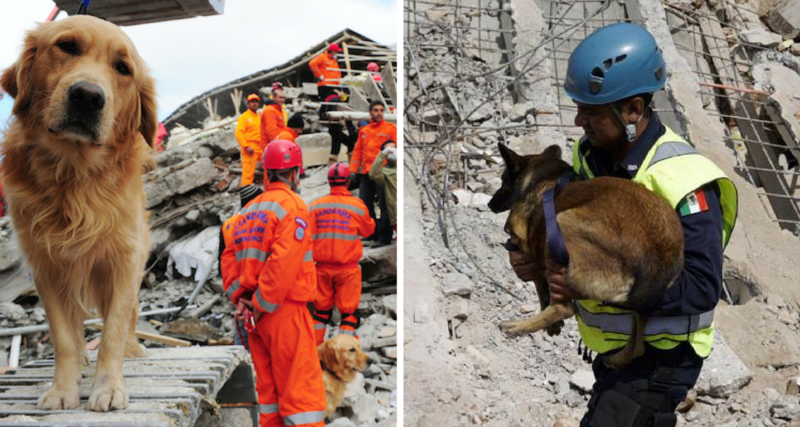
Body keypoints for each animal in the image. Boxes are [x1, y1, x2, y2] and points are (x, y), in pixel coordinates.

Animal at [0, 15, 156, 412]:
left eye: (123, 68)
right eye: (66, 46)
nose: (87, 96)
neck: (73, 178)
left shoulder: (123, 262)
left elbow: (114, 330)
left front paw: (109, 386)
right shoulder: (47, 267)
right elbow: (64, 338)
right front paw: (63, 389)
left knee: (129, 320)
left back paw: (133, 349)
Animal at [488, 145, 680, 372]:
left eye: (503, 180)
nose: (490, 204)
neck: (544, 177)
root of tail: (658, 255)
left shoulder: (523, 242)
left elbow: (538, 282)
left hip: (562, 223)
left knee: (565, 308)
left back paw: (517, 327)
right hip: (644, 303)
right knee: (638, 345)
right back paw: (617, 360)